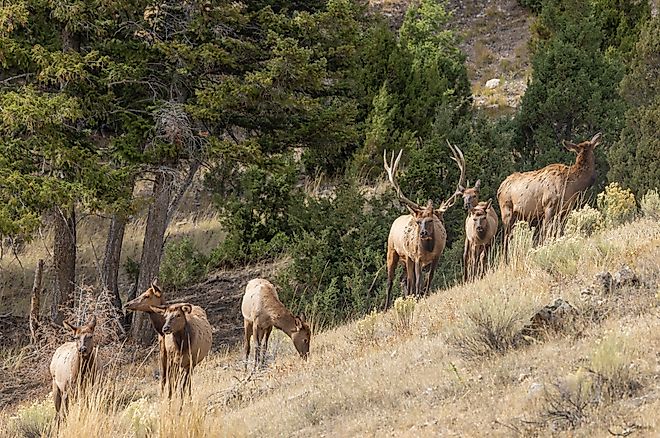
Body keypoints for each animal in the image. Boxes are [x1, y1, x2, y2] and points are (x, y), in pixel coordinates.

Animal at [383, 141, 466, 308]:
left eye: (430, 220)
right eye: (418, 221)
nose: (423, 233)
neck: (429, 249)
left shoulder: (436, 257)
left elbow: (428, 279)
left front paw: (423, 295)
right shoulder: (417, 257)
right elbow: (418, 281)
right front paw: (417, 297)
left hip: (406, 259)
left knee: (404, 279)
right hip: (392, 251)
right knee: (390, 281)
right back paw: (386, 306)